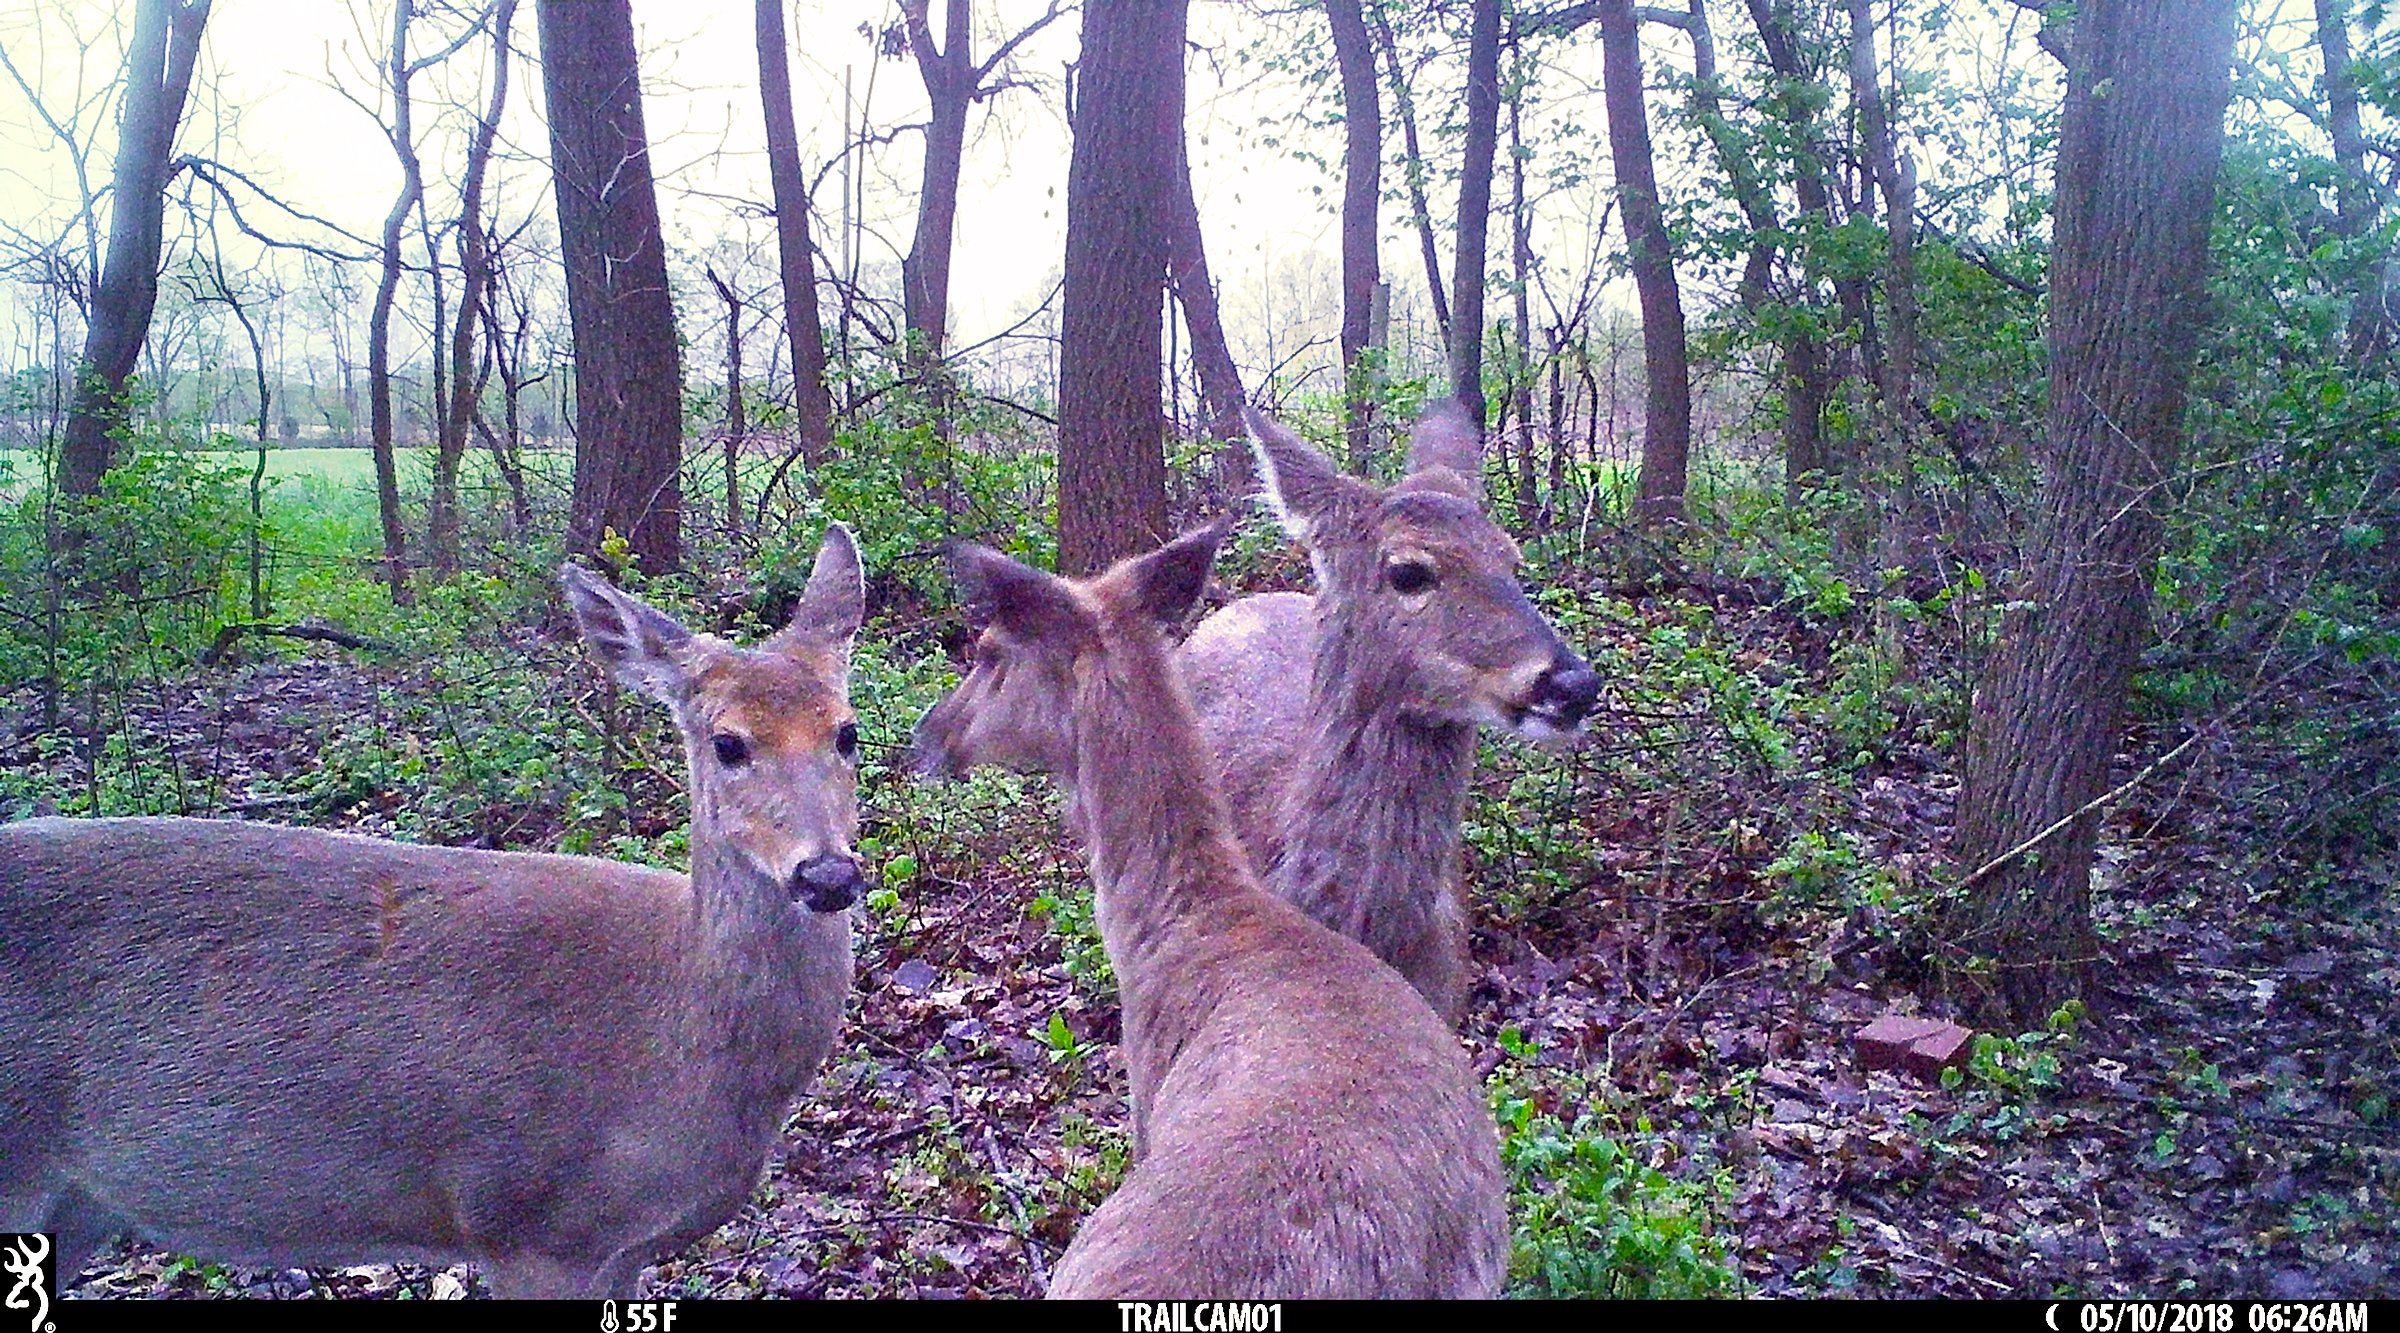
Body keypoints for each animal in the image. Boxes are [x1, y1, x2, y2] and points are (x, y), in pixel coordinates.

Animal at [0, 525, 869, 1299]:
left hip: (77, 1205)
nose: (827, 872)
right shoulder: (529, 1218)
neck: (677, 1028)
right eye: (727, 743)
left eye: (848, 732)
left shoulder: (623, 1246)